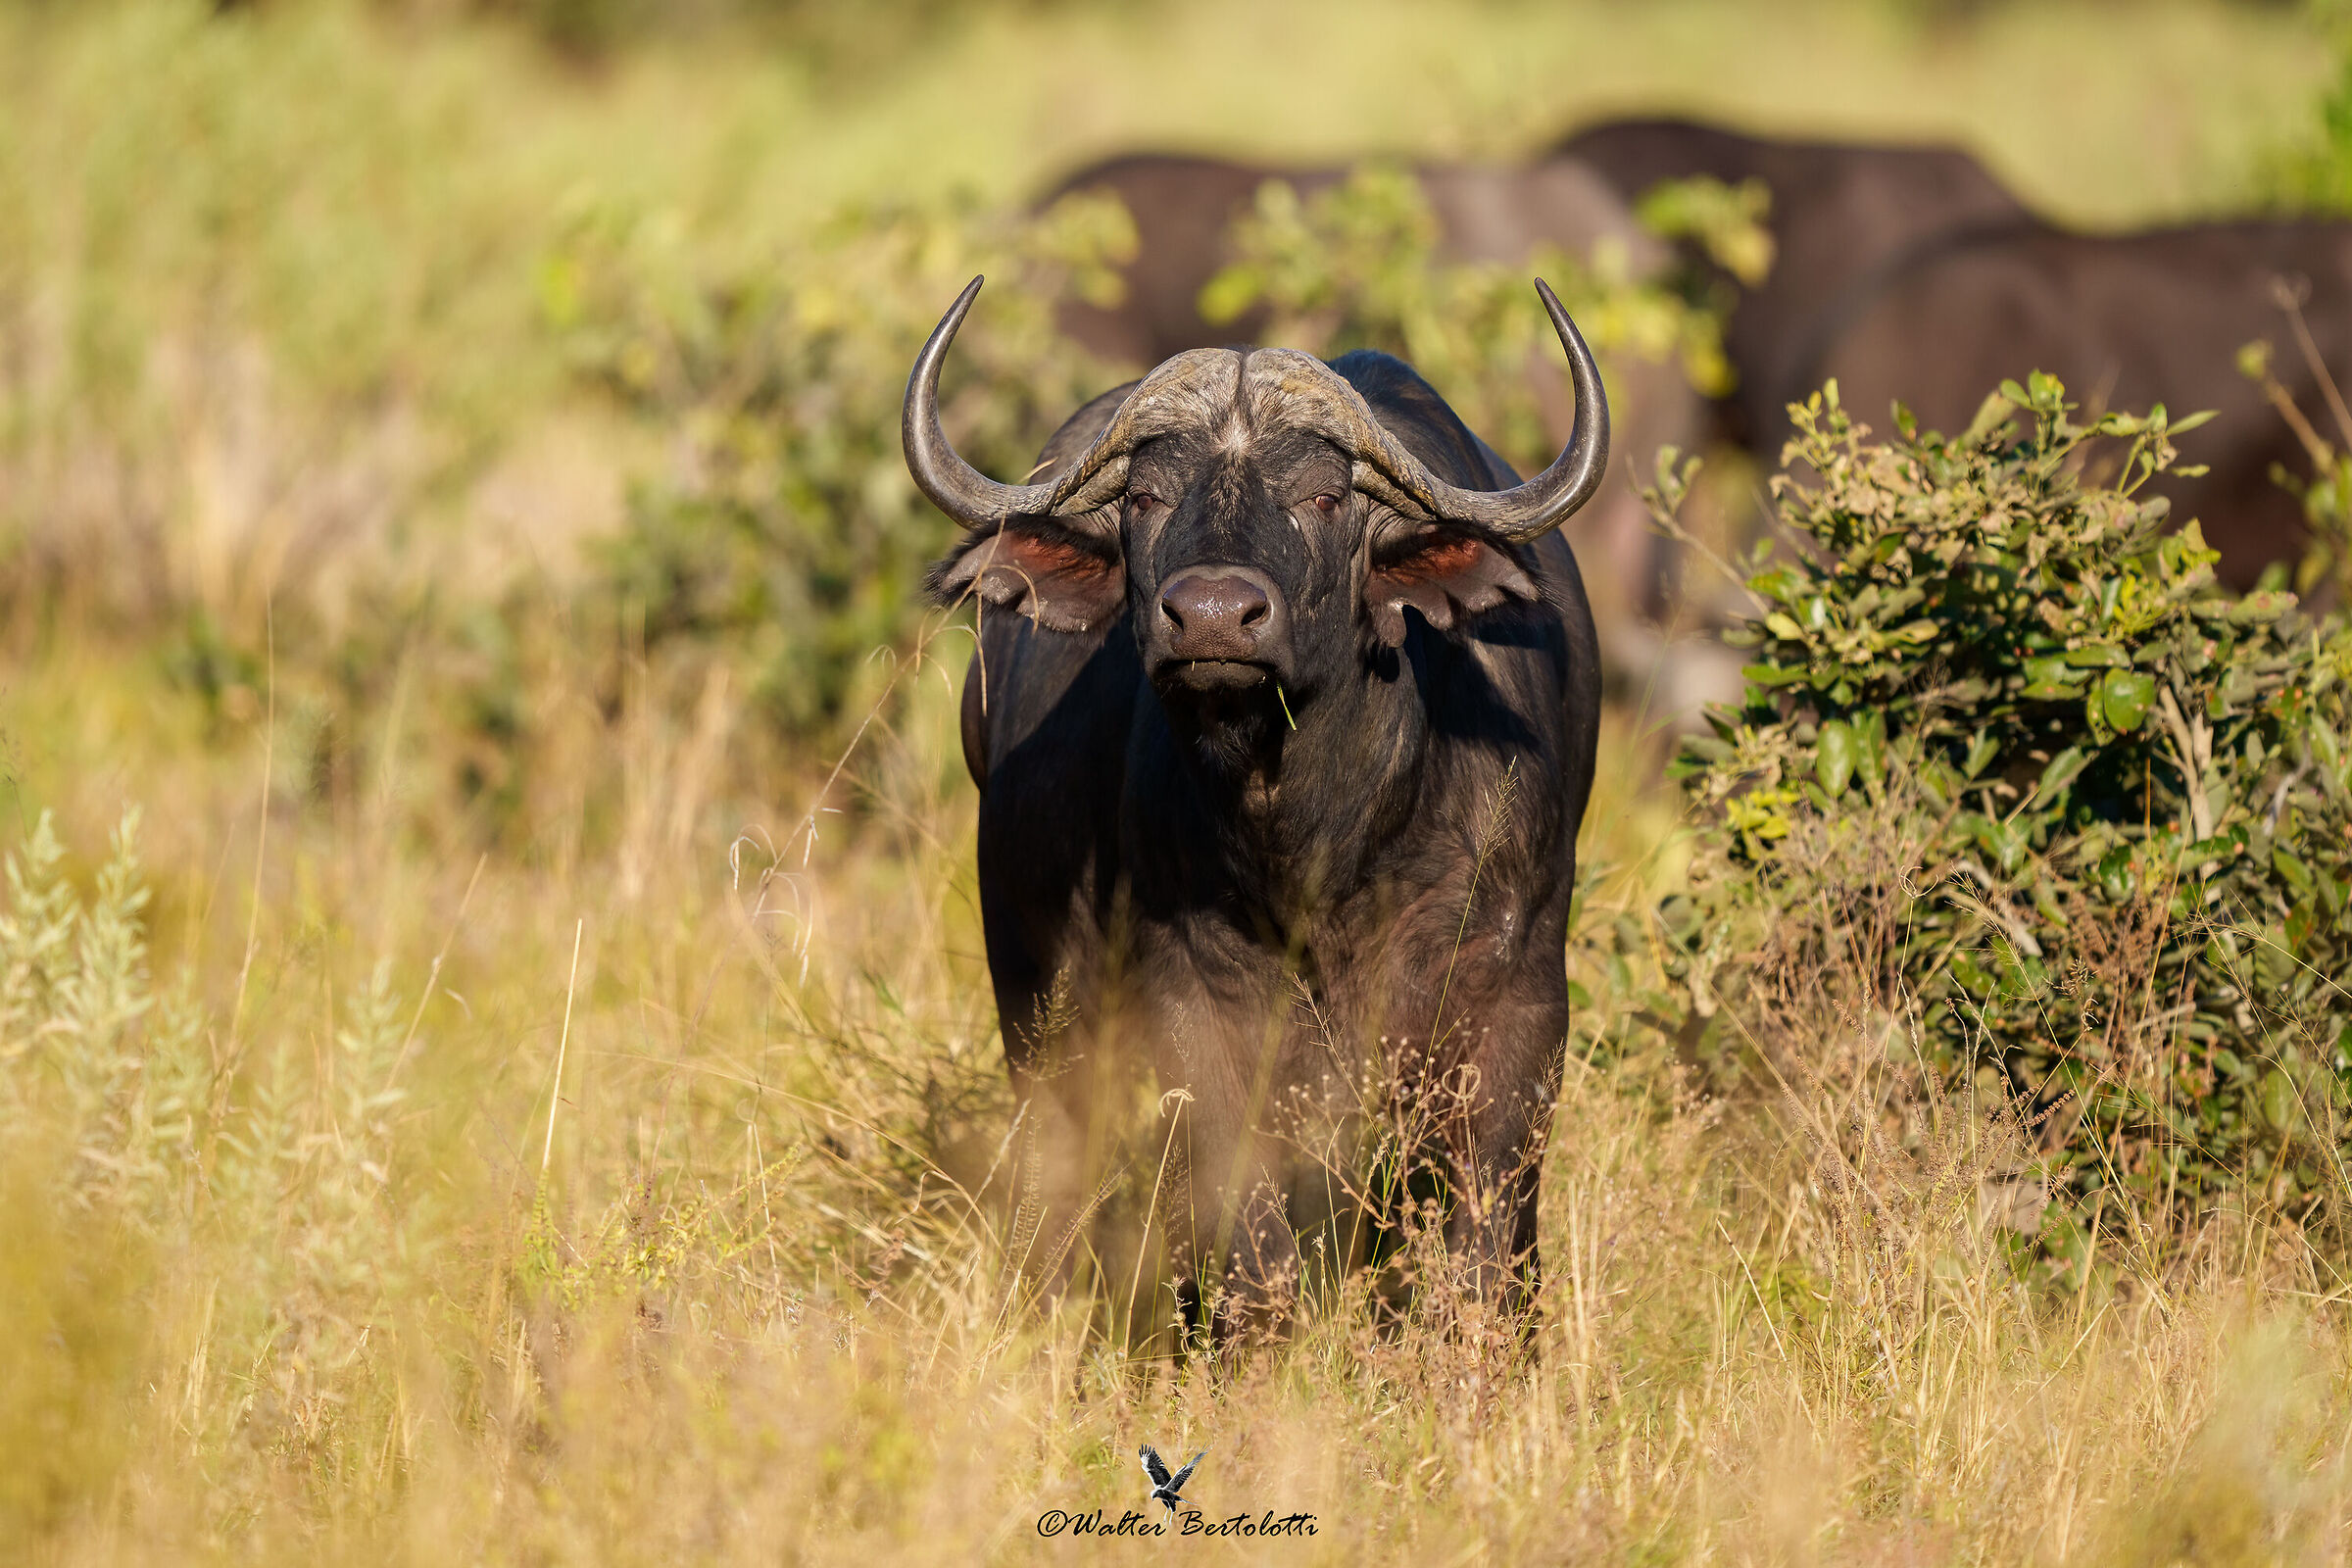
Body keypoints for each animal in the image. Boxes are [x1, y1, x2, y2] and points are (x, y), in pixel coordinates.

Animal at [906, 275, 1607, 1341]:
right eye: (1145, 498)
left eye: (1324, 495)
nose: (1211, 618)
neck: (1316, 836)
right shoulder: (1190, 1000)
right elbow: (1249, 1235)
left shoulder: (1516, 998)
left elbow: (1486, 1232)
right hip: (1035, 995)